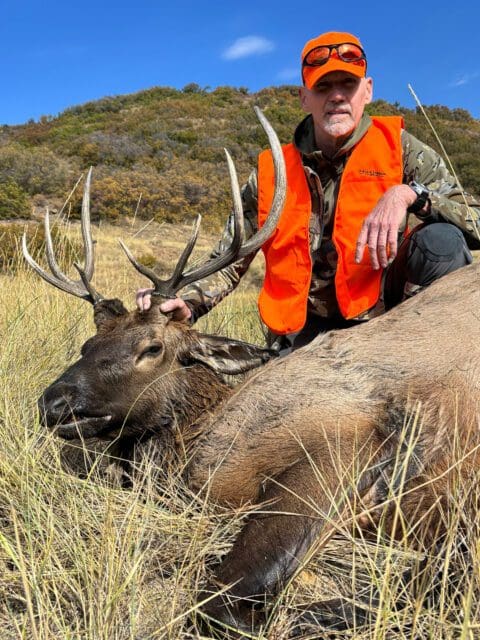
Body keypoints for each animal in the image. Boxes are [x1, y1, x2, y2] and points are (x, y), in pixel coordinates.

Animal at [23, 108, 480, 638]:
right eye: (87, 344)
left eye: (152, 348)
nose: (53, 402)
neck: (201, 445)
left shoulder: (341, 443)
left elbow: (221, 601)